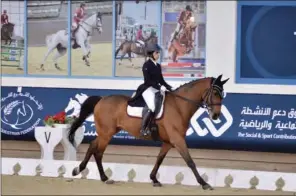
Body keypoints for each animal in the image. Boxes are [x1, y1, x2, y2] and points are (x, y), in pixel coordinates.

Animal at [69, 74, 229, 190]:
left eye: (222, 94)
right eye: (215, 92)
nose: (216, 115)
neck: (179, 106)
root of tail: (101, 99)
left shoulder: (168, 142)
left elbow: (159, 159)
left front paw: (154, 178)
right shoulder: (177, 140)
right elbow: (190, 162)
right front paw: (204, 183)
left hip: (106, 132)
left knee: (92, 146)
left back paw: (78, 170)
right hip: (106, 134)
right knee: (98, 152)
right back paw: (104, 178)